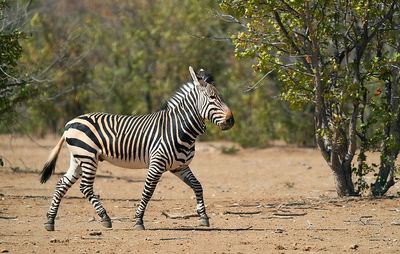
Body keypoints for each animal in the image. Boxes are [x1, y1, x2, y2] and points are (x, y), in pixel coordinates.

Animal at [39, 66, 234, 231]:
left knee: (61, 184)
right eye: (212, 98)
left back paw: (50, 221)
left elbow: (198, 186)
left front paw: (203, 216)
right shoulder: (157, 164)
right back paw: (105, 218)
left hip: (78, 158)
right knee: (85, 187)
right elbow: (147, 192)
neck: (178, 128)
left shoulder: (180, 166)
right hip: (88, 157)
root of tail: (70, 123)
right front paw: (139, 221)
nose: (231, 121)